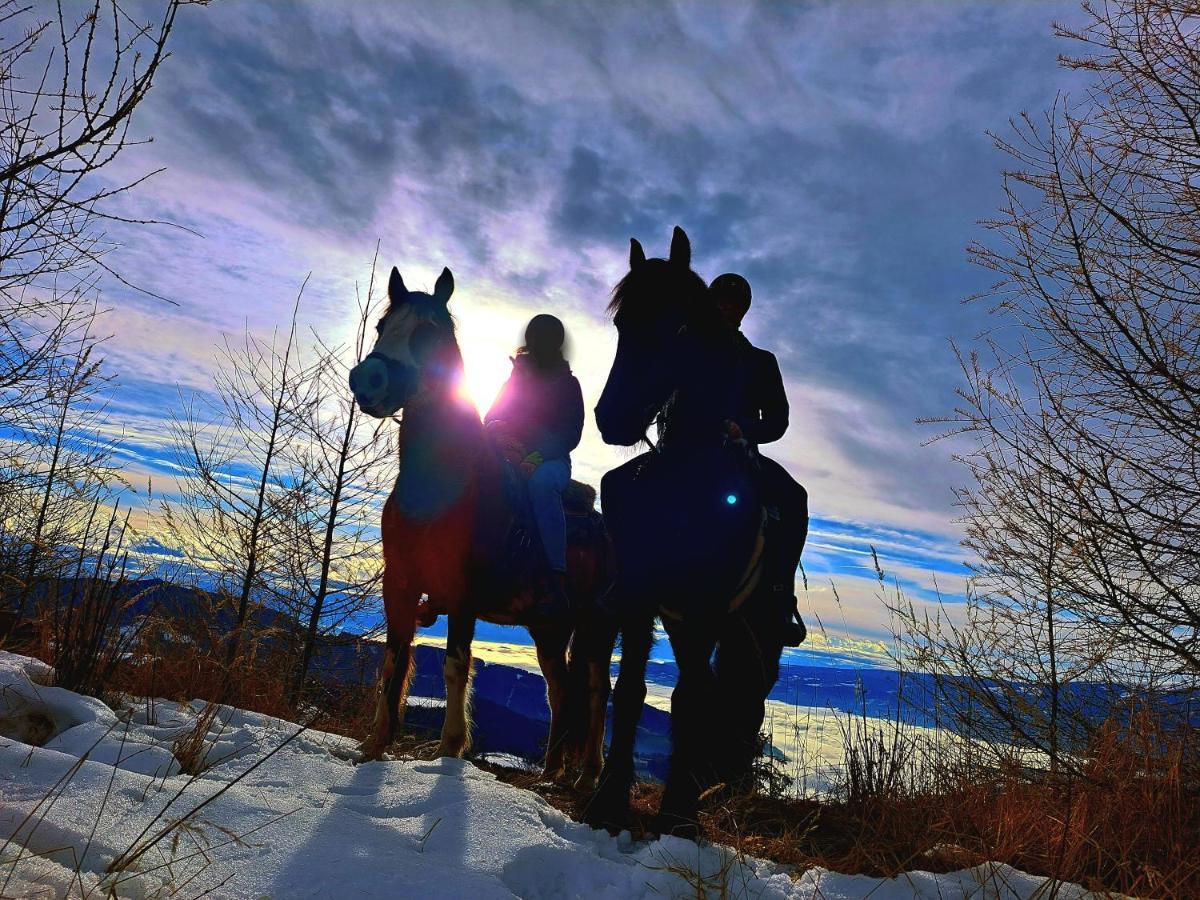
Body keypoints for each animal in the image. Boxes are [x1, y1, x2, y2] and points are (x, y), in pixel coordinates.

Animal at [345, 260, 609, 782]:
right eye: (383, 326)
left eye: (428, 332)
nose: (369, 381)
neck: (437, 486)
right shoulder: (400, 586)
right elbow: (393, 662)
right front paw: (374, 744)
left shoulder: (461, 595)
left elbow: (455, 666)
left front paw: (450, 750)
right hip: (550, 630)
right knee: (560, 690)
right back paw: (553, 770)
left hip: (596, 628)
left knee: (594, 691)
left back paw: (587, 771)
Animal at [585, 226, 801, 840]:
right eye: (622, 323)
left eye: (679, 327)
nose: (613, 419)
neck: (685, 484)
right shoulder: (640, 598)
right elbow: (632, 690)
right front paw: (607, 801)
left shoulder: (706, 606)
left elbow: (685, 701)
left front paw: (677, 814)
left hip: (753, 632)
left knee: (740, 699)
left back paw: (715, 786)